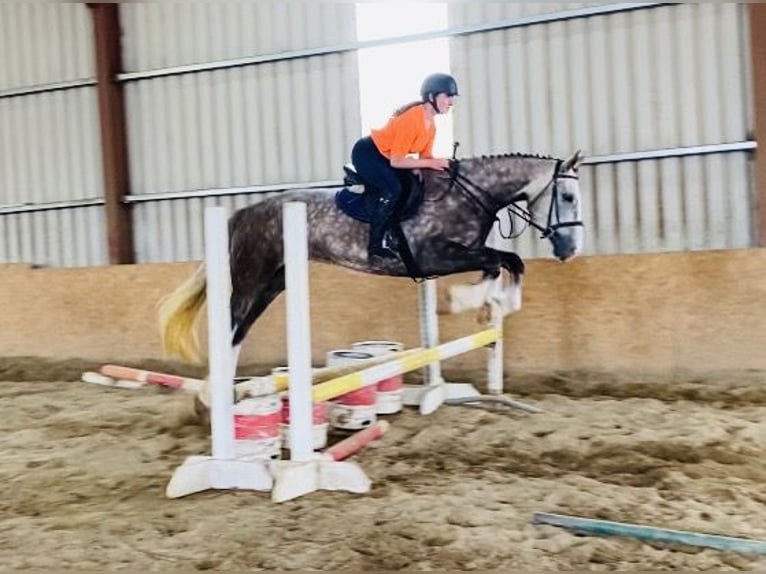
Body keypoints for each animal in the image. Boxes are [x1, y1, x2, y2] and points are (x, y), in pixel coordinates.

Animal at [159, 151, 584, 362]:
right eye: (567, 196)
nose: (571, 249)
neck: (468, 194)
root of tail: (243, 213)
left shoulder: (462, 254)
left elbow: (502, 263)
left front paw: (490, 308)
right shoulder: (436, 255)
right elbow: (501, 261)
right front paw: (464, 302)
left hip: (274, 281)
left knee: (239, 332)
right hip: (250, 277)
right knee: (230, 326)